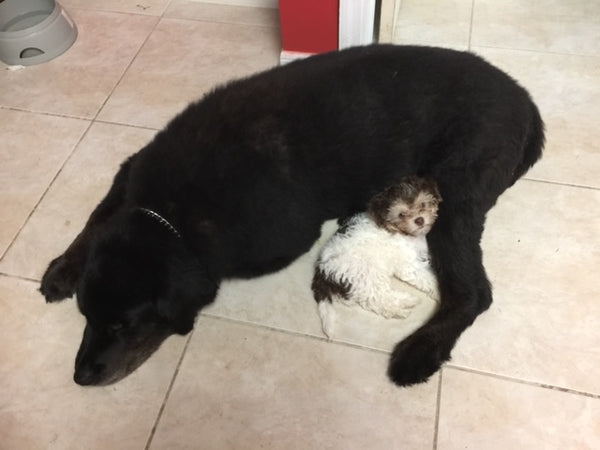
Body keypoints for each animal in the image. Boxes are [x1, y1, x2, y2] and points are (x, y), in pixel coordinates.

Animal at [314, 176, 440, 338]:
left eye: (423, 204)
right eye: (401, 214)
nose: (419, 220)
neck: (401, 232)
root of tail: (322, 270)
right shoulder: (407, 264)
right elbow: (426, 277)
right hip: (367, 273)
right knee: (377, 298)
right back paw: (405, 303)